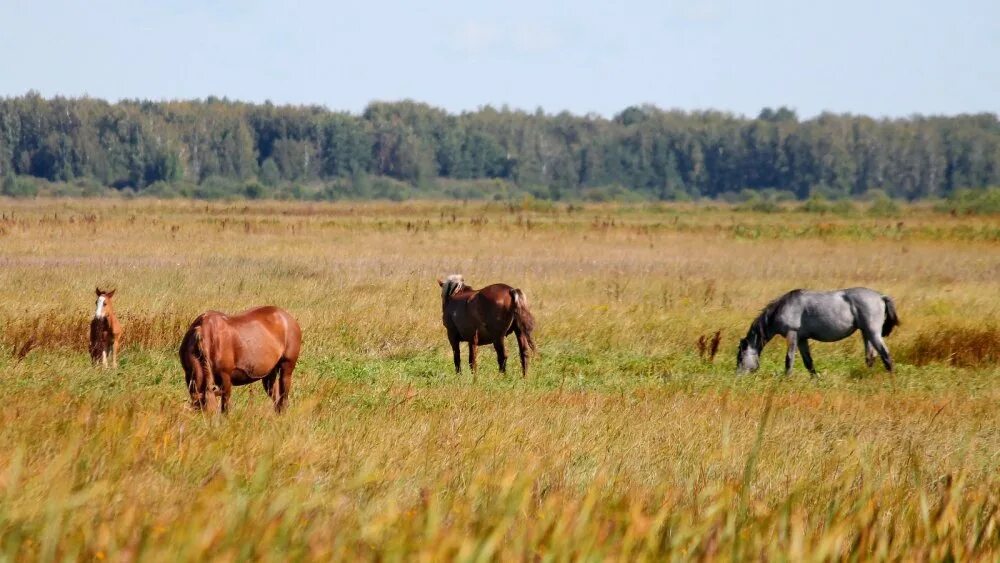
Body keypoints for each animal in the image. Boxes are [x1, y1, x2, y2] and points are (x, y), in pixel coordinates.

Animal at [736, 288, 900, 376]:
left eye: (740, 358)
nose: (737, 377)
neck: (782, 307)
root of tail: (881, 297)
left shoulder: (792, 334)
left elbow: (789, 359)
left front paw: (786, 379)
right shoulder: (802, 338)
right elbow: (808, 362)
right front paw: (816, 380)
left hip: (873, 333)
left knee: (886, 356)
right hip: (866, 333)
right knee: (870, 357)